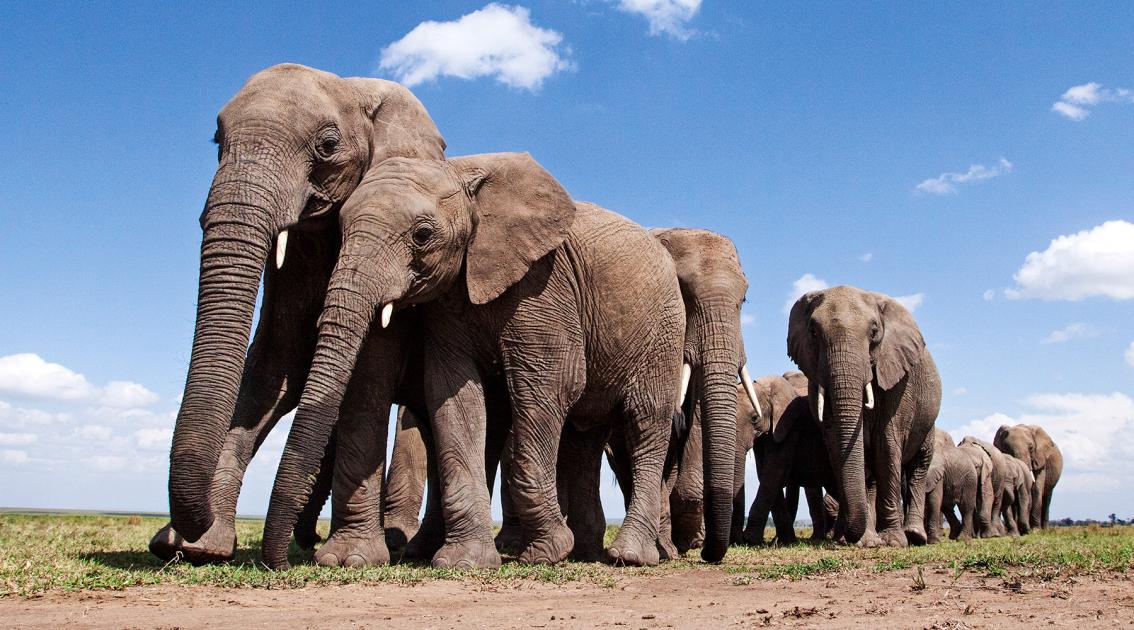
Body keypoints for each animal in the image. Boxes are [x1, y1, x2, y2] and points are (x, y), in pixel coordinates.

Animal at [259, 151, 687, 570]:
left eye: (422, 235)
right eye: (341, 231)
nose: (282, 564)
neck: (463, 177)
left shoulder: (544, 284)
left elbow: (551, 384)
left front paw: (545, 553)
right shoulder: (449, 304)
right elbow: (454, 395)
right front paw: (465, 562)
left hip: (663, 333)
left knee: (645, 425)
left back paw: (629, 556)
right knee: (584, 437)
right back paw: (586, 553)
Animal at [733, 373, 836, 546]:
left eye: (754, 418)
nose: (736, 540)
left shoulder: (787, 426)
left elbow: (773, 472)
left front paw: (750, 539)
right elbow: (765, 472)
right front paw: (784, 541)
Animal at [787, 286, 941, 547]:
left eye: (874, 332)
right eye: (813, 332)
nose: (845, 535)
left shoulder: (899, 382)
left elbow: (887, 445)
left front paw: (892, 542)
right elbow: (838, 448)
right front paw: (859, 541)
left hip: (928, 419)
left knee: (918, 467)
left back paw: (914, 536)